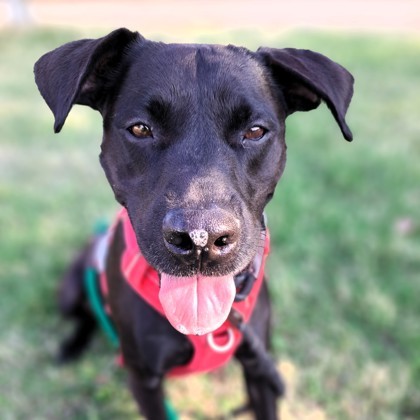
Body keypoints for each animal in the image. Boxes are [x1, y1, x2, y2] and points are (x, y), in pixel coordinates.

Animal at [33, 27, 354, 418]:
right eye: (140, 129)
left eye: (255, 131)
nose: (201, 239)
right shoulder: (144, 378)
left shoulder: (260, 368)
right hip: (70, 290)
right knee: (84, 316)